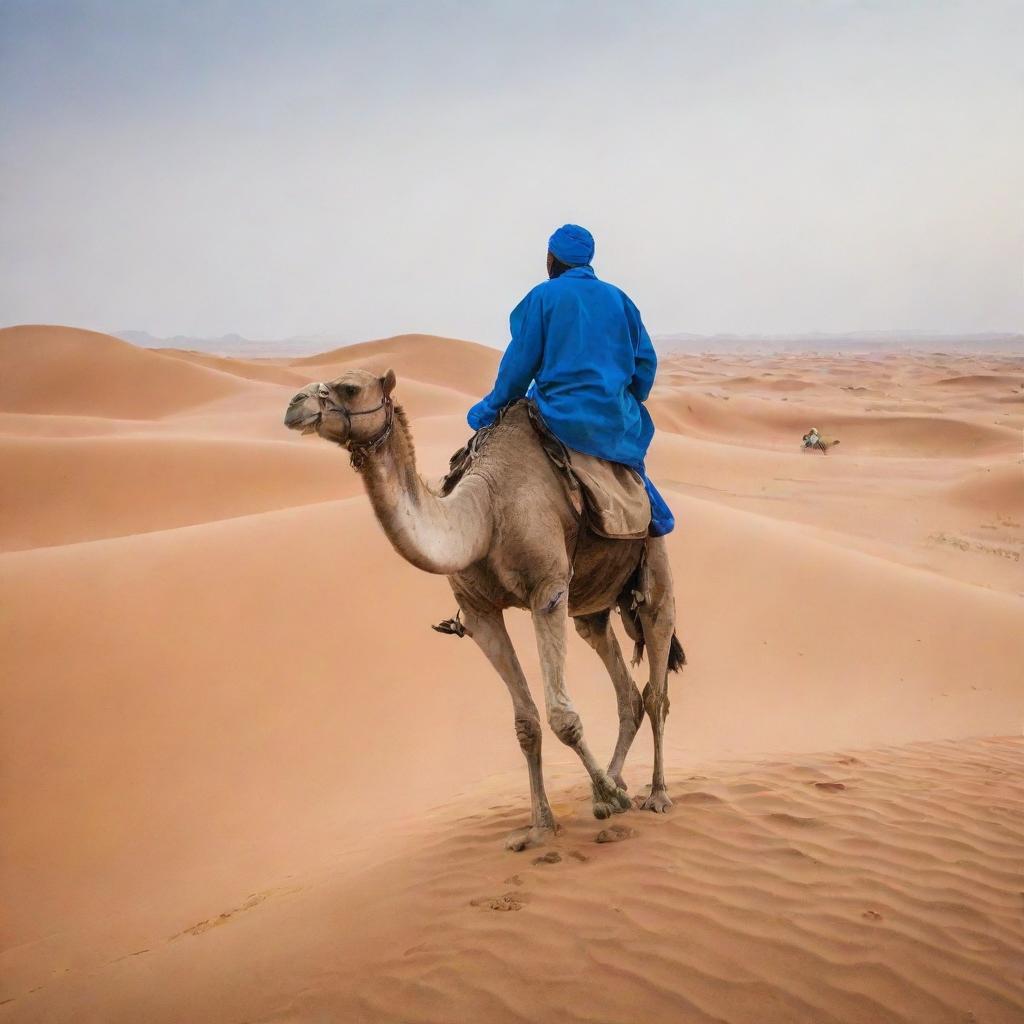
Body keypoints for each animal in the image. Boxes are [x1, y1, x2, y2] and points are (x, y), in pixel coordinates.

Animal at [284, 372, 684, 851]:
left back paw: (655, 795)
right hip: (590, 605)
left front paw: (610, 798)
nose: (294, 405)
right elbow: (527, 723)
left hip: (655, 567)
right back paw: (613, 780)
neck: (485, 511)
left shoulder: (548, 591)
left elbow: (562, 717)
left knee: (656, 686)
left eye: (349, 388)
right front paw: (541, 827)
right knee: (623, 685)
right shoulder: (479, 613)